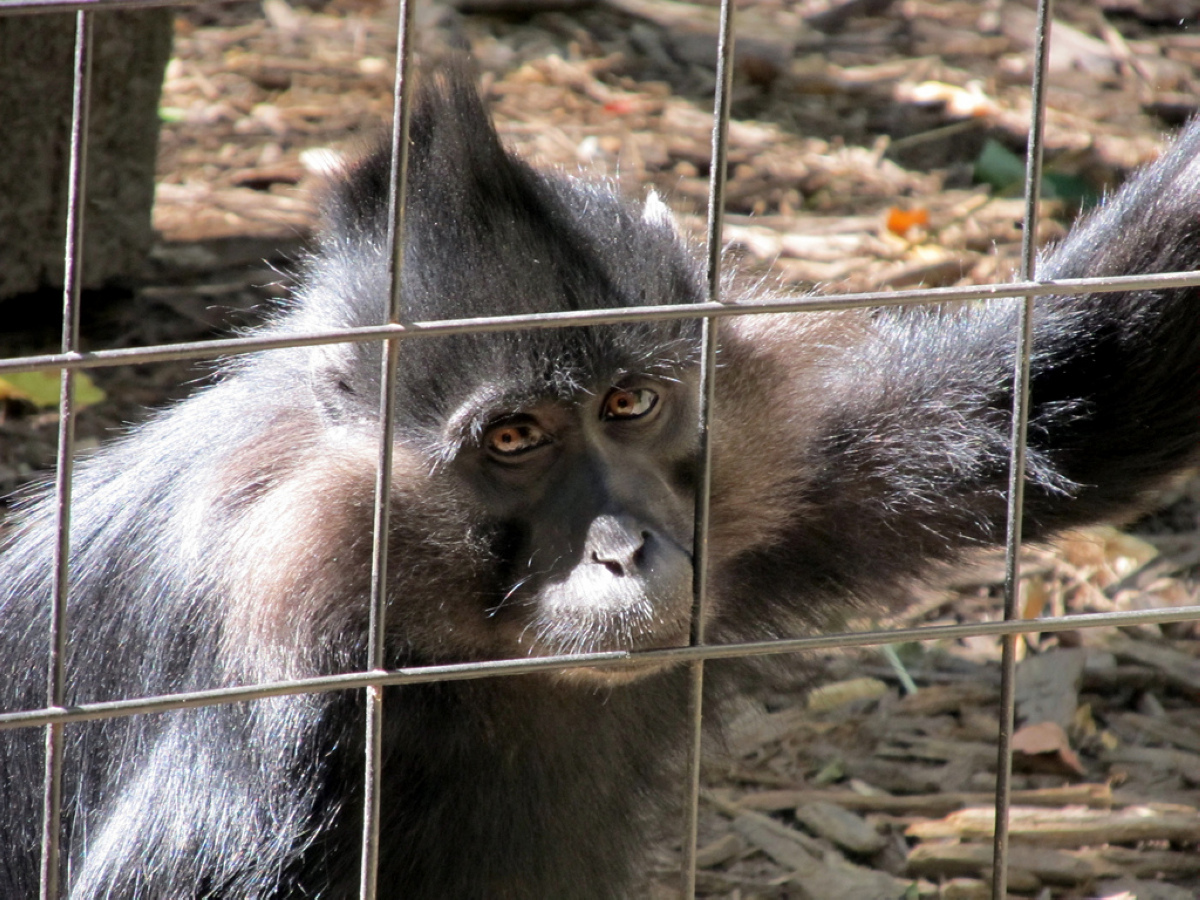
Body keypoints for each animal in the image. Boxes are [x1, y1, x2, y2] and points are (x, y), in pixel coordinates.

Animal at [2, 65, 1200, 900]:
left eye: (630, 405)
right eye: (515, 438)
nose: (624, 545)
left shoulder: (773, 465)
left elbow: (1070, 393)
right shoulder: (268, 675)